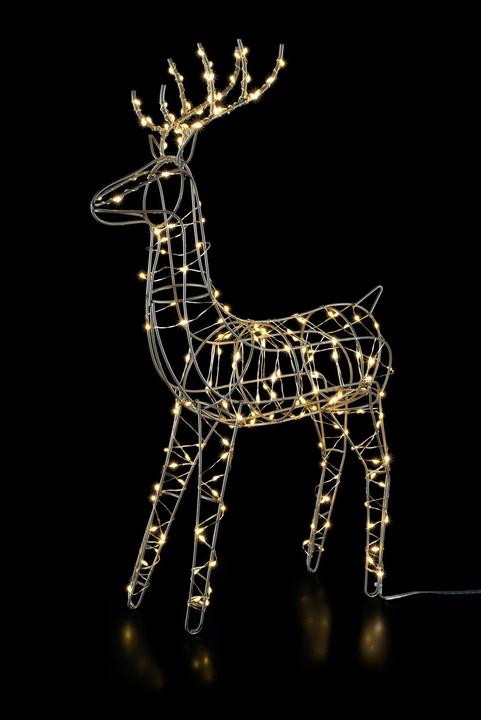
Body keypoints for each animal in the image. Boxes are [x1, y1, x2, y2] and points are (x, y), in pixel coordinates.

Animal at [91, 40, 394, 635]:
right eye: (140, 163)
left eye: (161, 172)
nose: (98, 200)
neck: (202, 335)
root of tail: (368, 306)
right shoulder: (189, 415)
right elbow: (164, 500)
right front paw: (134, 599)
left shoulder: (225, 421)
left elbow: (208, 510)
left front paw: (193, 622)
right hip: (329, 409)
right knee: (334, 456)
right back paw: (312, 559)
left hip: (369, 399)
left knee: (379, 466)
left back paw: (374, 585)